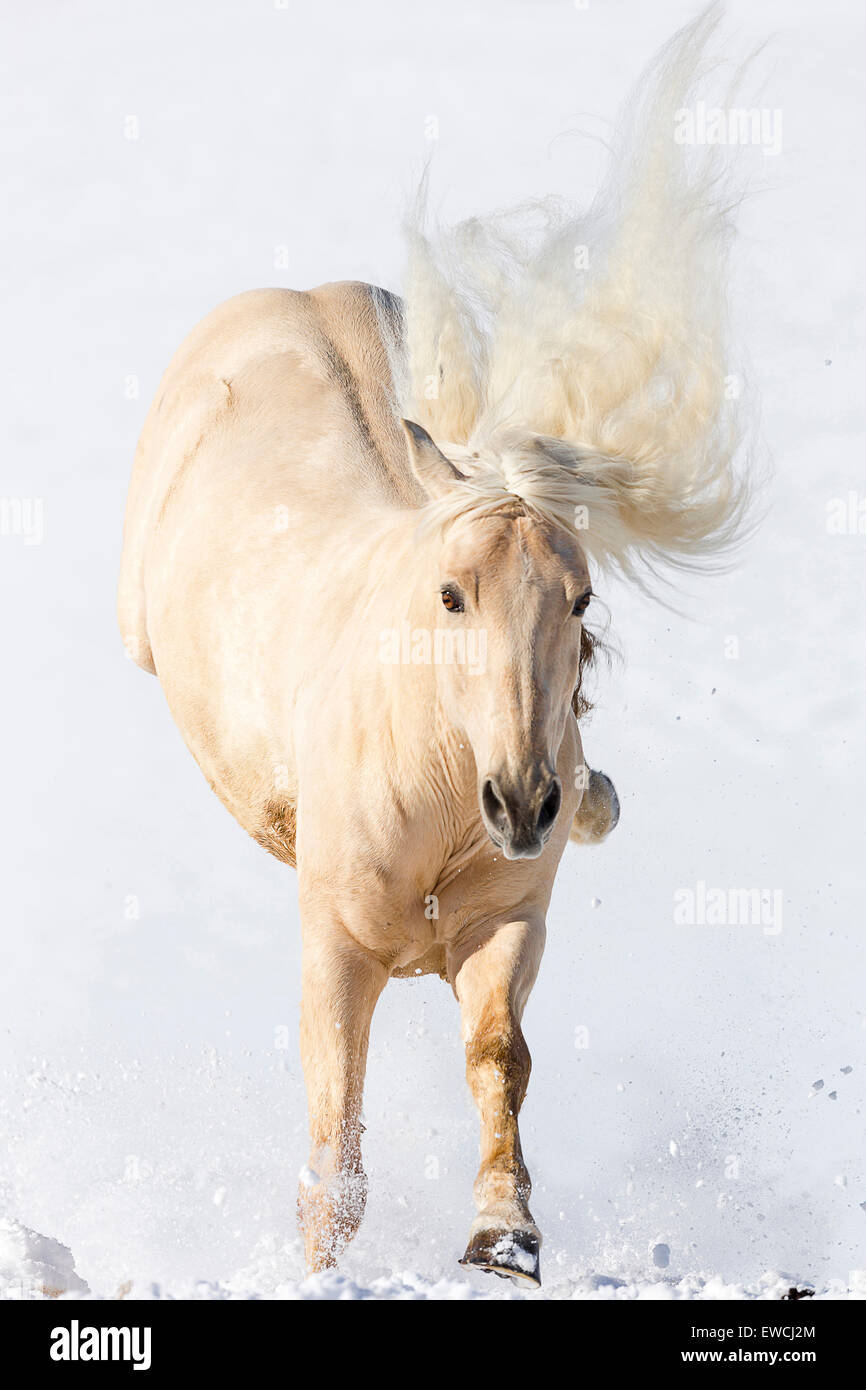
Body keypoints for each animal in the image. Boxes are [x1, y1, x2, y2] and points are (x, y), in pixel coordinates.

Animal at [118, 8, 753, 1288]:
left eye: (582, 600)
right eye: (450, 595)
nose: (525, 801)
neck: (436, 768)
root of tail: (295, 294)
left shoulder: (505, 927)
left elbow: (497, 1057)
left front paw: (503, 1234)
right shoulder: (333, 943)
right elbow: (334, 1134)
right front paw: (324, 1265)